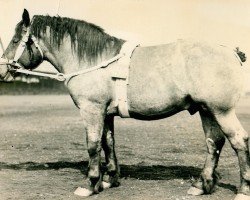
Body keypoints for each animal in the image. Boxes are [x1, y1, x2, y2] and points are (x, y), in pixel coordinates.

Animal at [0, 9, 250, 198]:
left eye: (15, 40)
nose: (3, 70)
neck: (94, 61)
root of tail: (231, 52)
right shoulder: (106, 113)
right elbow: (108, 143)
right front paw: (109, 179)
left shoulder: (91, 110)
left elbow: (93, 145)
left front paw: (90, 184)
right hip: (206, 111)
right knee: (214, 143)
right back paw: (201, 185)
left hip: (222, 111)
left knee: (239, 141)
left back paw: (242, 190)